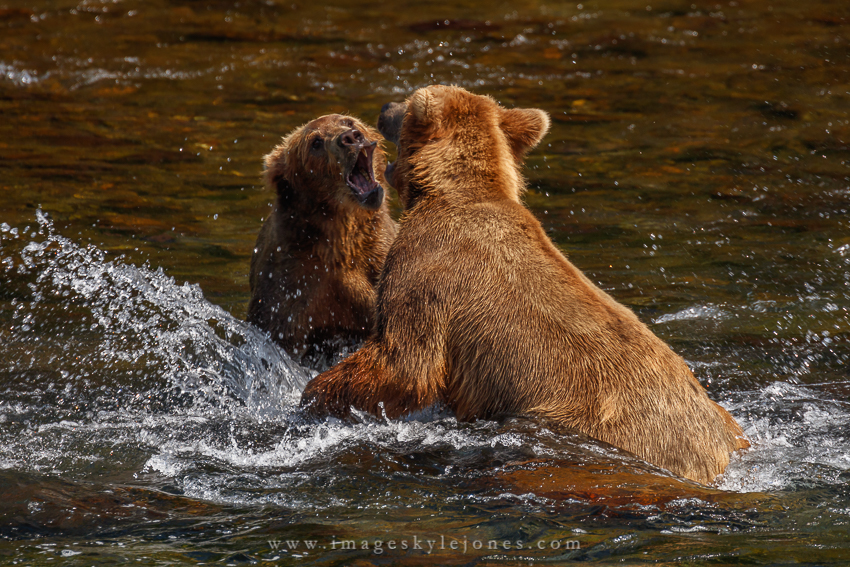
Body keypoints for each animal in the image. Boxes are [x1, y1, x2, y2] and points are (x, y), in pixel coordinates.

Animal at [300, 86, 749, 484]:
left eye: (406, 103)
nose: (382, 109)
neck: (451, 192)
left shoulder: (427, 269)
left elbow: (404, 362)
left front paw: (313, 397)